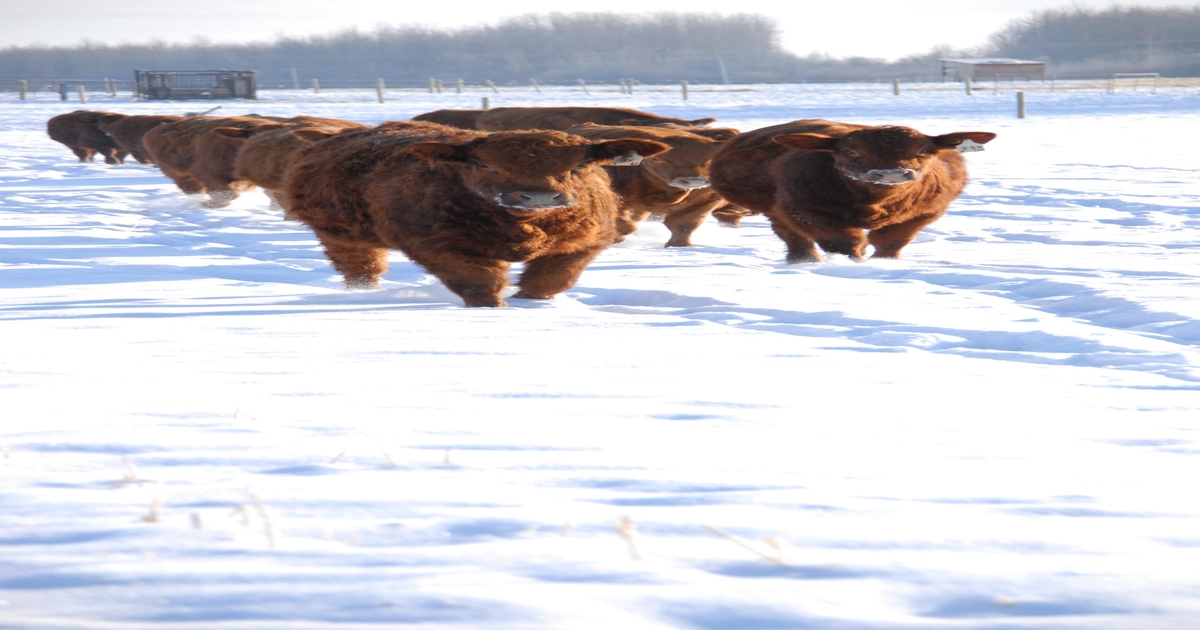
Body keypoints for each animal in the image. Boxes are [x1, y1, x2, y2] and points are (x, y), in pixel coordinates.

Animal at [281, 121, 670, 307]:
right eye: (484, 164)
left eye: (580, 164)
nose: (539, 194)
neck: (526, 228)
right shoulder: (437, 245)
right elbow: (478, 281)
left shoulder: (587, 241)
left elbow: (551, 280)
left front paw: (531, 303)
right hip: (340, 235)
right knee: (362, 271)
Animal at [565, 122, 739, 247]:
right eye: (657, 159)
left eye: (708, 159)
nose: (694, 180)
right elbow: (624, 225)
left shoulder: (708, 199)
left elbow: (683, 224)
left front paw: (679, 246)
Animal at [709, 119, 996, 262]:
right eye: (849, 151)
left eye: (923, 150)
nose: (891, 173)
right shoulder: (805, 211)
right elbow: (845, 242)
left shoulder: (925, 213)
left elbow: (890, 242)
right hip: (775, 210)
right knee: (794, 238)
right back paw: (804, 261)